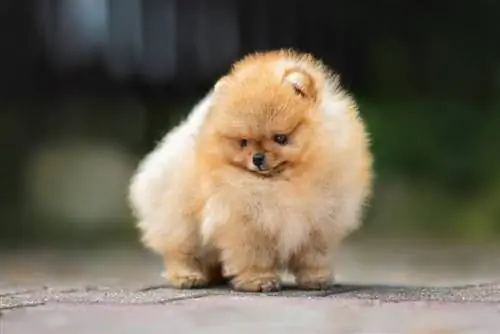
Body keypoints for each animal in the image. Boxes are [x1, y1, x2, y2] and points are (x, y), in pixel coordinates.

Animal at [127, 48, 374, 290]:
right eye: (243, 142)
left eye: (280, 138)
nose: (257, 158)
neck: (286, 180)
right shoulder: (246, 223)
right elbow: (254, 256)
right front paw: (259, 281)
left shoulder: (320, 221)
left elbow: (313, 256)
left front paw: (316, 279)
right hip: (181, 220)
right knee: (181, 251)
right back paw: (188, 276)